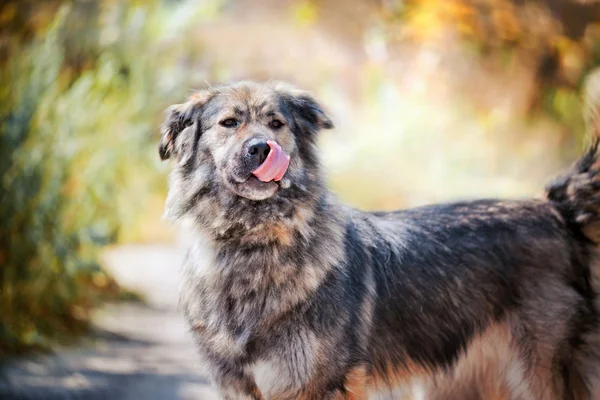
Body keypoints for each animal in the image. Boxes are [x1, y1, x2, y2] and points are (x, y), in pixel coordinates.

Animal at [158, 81, 600, 400]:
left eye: (277, 124)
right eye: (229, 123)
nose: (262, 148)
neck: (252, 243)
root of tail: (557, 211)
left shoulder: (319, 384)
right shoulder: (240, 387)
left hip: (537, 374)